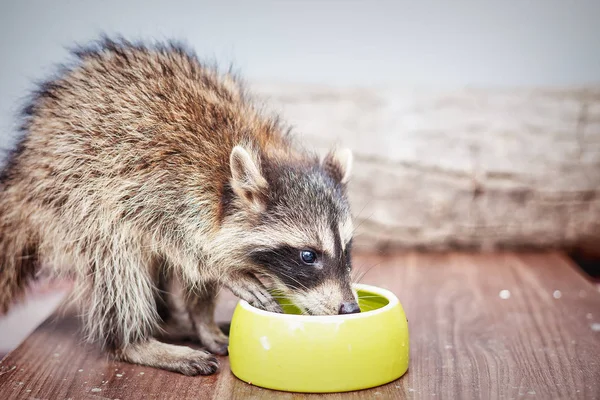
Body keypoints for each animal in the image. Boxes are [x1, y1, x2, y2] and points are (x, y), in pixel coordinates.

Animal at [0, 36, 356, 376]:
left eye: (347, 249)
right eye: (308, 256)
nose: (350, 309)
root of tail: (23, 166)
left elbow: (196, 273)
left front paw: (202, 316)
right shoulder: (156, 186)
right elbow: (184, 246)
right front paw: (223, 270)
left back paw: (178, 321)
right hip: (71, 198)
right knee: (119, 260)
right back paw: (134, 341)